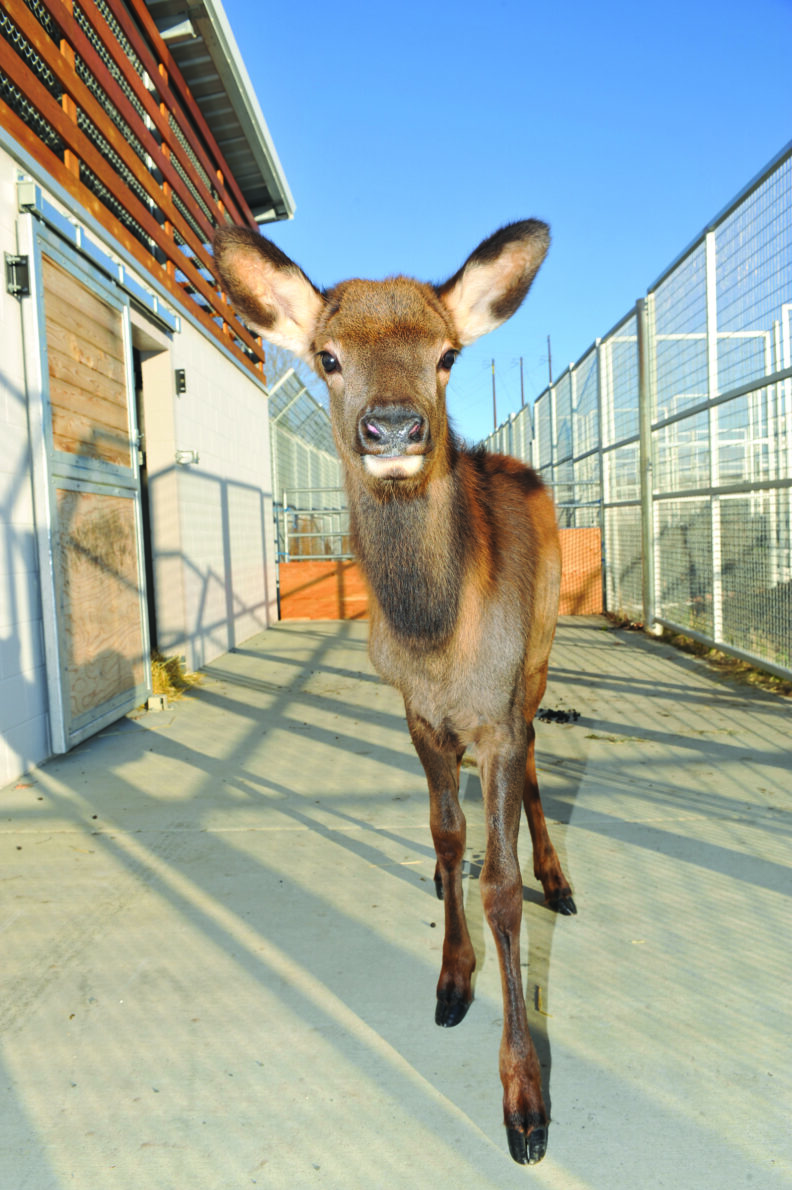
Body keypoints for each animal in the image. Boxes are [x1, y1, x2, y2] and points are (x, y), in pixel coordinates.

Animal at [213, 220, 576, 1166]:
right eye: (328, 357)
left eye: (447, 355)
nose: (395, 427)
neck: (436, 642)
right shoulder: (417, 716)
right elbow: (447, 840)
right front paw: (450, 981)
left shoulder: (493, 714)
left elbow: (502, 890)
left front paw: (526, 1106)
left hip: (542, 652)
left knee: (538, 756)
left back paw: (559, 877)